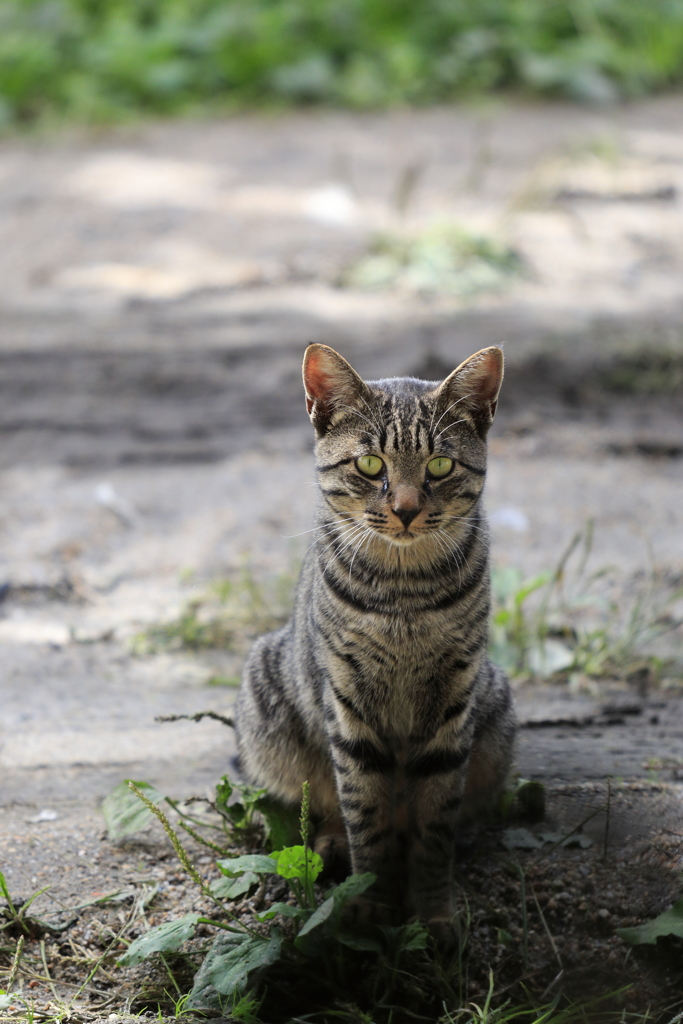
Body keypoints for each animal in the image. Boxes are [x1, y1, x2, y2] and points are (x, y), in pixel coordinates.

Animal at [232, 344, 516, 937]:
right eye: (370, 465)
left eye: (439, 465)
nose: (406, 509)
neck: (404, 591)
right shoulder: (347, 700)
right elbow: (365, 814)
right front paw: (370, 903)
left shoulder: (455, 696)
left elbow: (435, 826)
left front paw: (433, 912)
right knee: (323, 803)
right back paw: (331, 844)